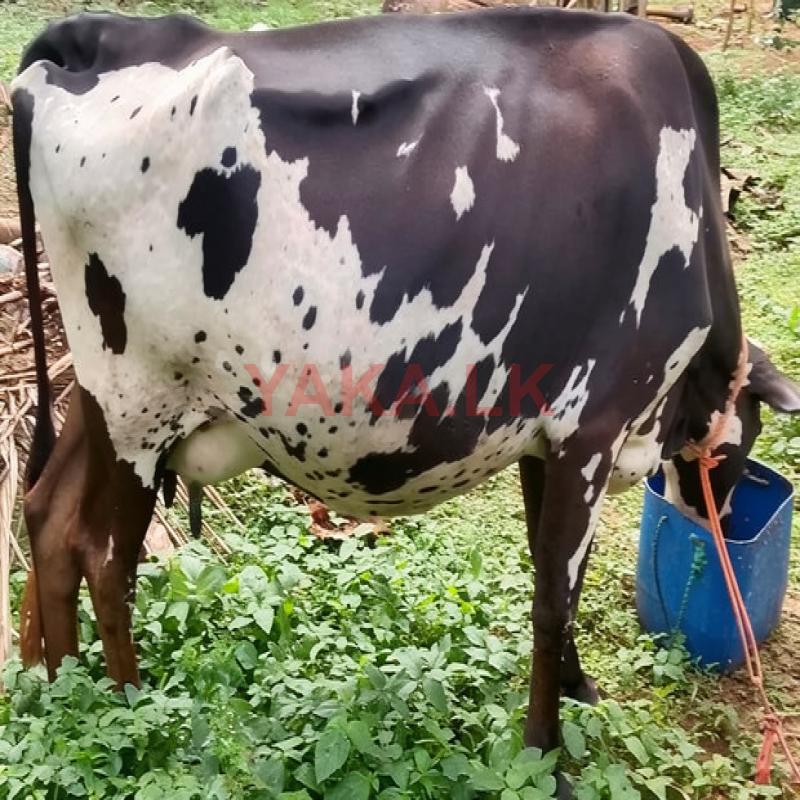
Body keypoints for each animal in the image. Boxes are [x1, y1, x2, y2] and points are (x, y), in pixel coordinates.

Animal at [11, 9, 800, 796]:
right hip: (136, 406)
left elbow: (547, 573)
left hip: (103, 396)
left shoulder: (544, 429)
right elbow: (554, 600)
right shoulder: (592, 427)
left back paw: (58, 689)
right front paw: (545, 754)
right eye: (747, 446)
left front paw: (577, 689)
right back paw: (129, 712)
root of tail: (106, 33)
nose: (721, 516)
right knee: (102, 554)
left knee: (47, 512)